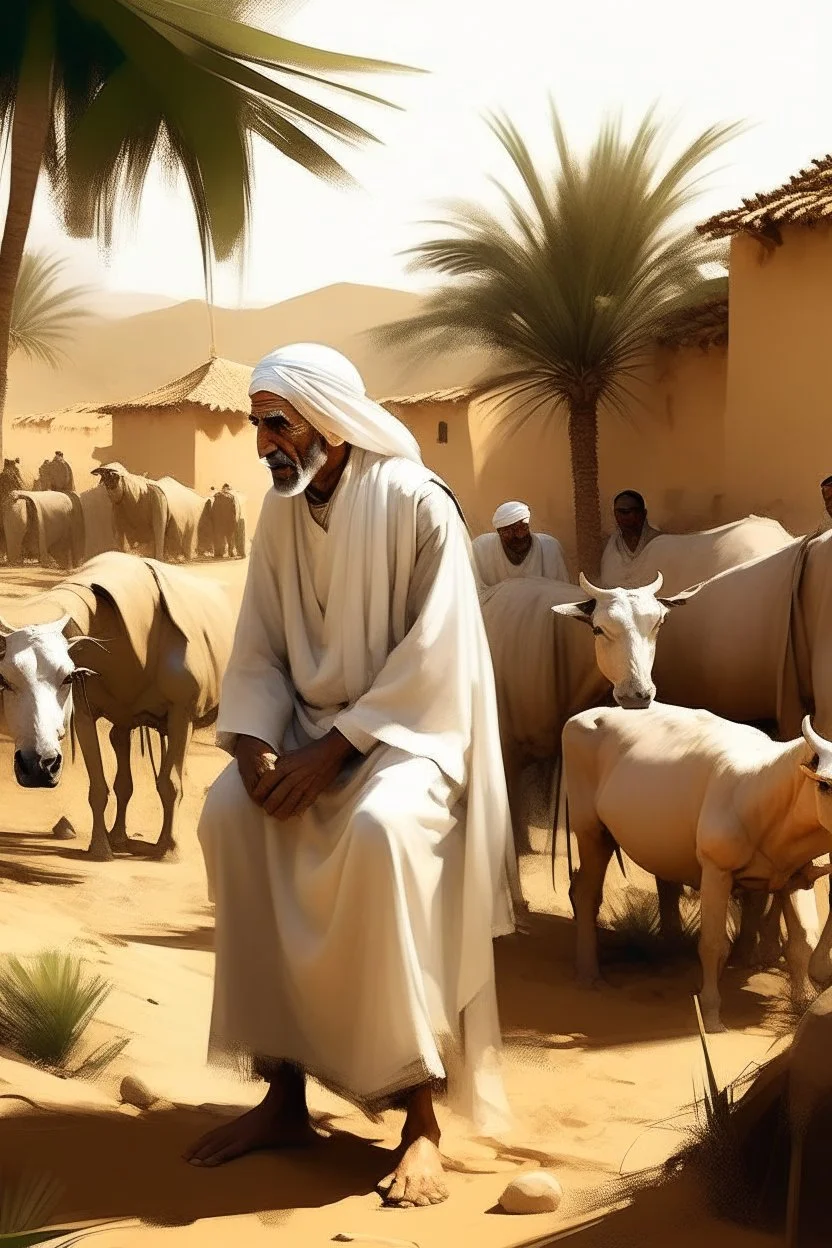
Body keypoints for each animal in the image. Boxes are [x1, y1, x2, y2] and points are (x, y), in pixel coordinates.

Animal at [563, 703, 832, 1033]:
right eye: (824, 785)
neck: (765, 785)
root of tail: (583, 716)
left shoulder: (793, 876)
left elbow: (802, 940)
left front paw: (803, 1002)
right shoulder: (716, 871)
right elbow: (713, 944)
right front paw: (712, 1015)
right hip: (590, 829)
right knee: (585, 893)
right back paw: (589, 975)